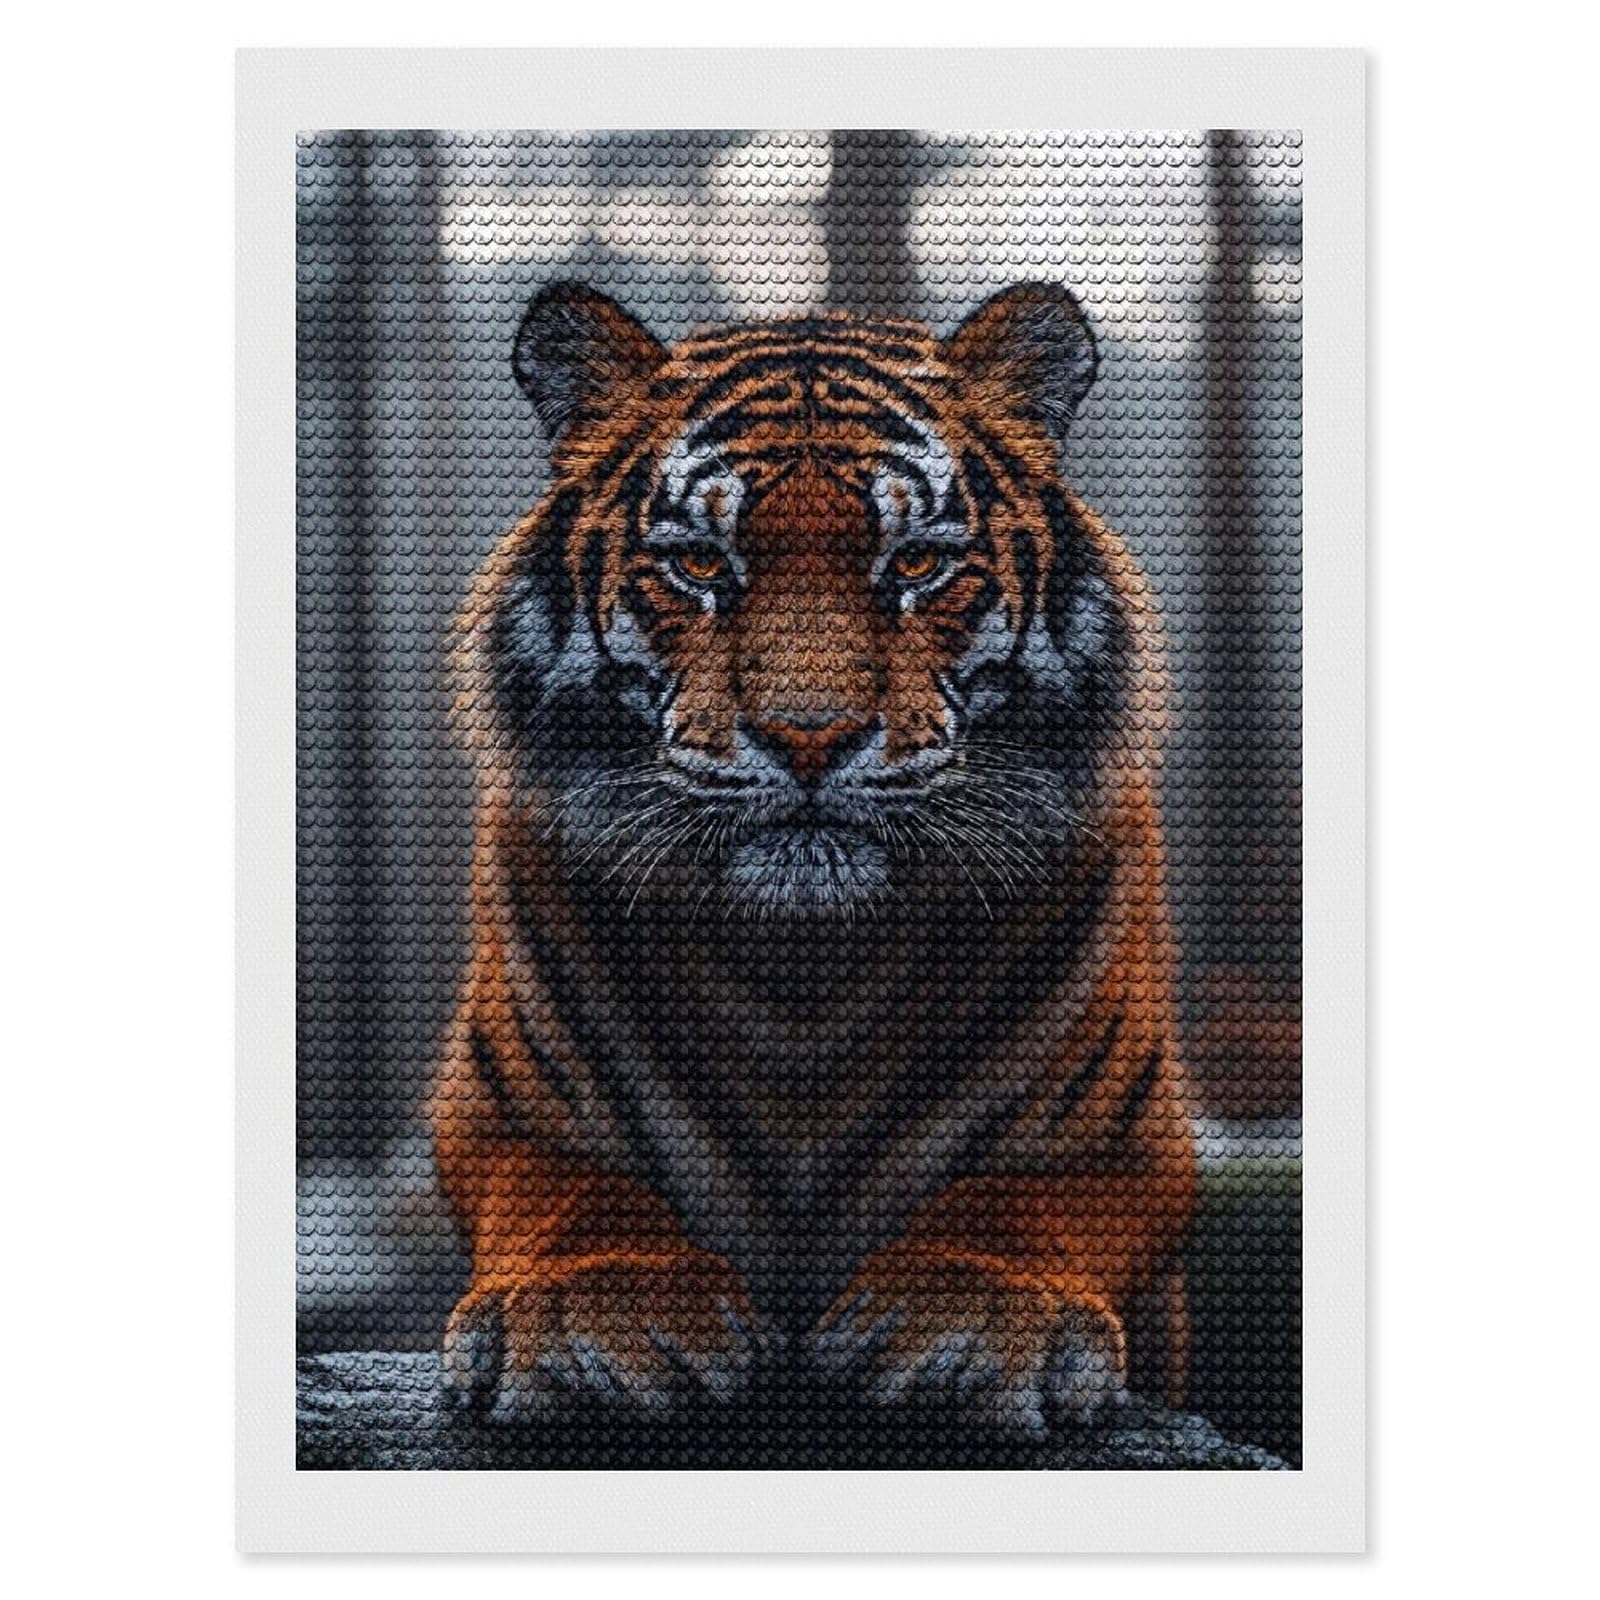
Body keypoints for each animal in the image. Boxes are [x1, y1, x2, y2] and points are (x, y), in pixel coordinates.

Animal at [432, 279, 1197, 1438]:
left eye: (917, 562)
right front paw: (596, 1311)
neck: (805, 971)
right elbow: (572, 1190)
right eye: (701, 564)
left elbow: (1015, 1198)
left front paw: (971, 1316)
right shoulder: (499, 1111)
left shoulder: (1126, 1138)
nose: (808, 735)